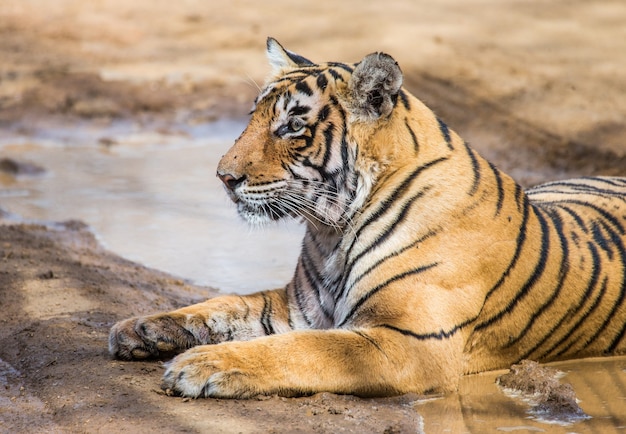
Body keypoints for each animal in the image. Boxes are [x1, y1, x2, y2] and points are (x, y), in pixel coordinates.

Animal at [108, 38, 624, 400]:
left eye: (293, 126)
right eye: (253, 116)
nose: (223, 177)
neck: (331, 230)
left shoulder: (406, 341)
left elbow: (301, 349)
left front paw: (202, 366)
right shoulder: (295, 307)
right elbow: (224, 305)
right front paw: (141, 328)